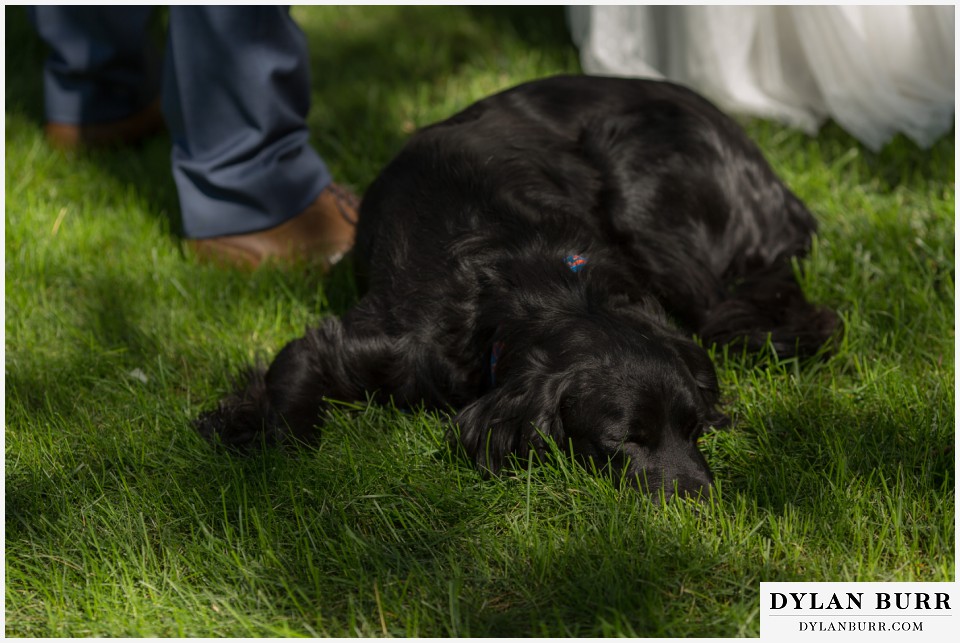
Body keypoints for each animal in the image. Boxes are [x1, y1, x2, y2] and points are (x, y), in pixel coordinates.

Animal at [197, 74, 840, 498]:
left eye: (693, 426)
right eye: (625, 440)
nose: (703, 502)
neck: (523, 280)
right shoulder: (358, 343)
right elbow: (291, 421)